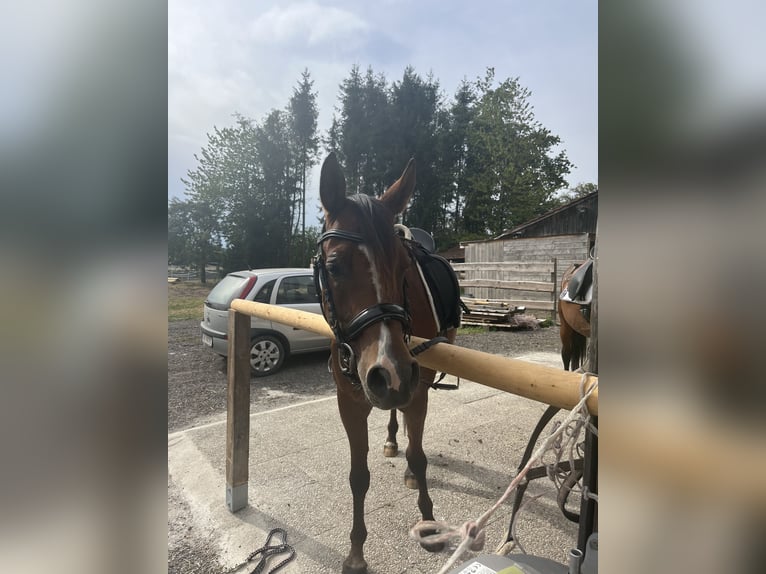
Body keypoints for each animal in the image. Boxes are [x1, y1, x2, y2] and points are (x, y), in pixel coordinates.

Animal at [315, 153, 457, 574]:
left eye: (404, 268)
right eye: (334, 267)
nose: (389, 373)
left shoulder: (417, 389)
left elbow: (419, 456)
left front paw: (428, 523)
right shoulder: (349, 402)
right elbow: (358, 476)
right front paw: (356, 553)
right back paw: (392, 437)